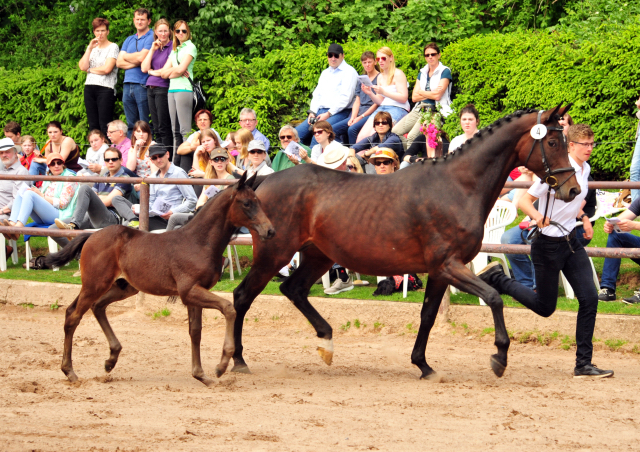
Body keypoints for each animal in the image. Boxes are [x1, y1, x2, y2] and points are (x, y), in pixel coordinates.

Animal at [45, 172, 276, 384]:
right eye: (246, 203)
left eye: (258, 201)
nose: (270, 231)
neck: (198, 241)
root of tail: (91, 235)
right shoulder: (189, 291)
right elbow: (229, 308)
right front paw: (221, 365)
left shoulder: (194, 294)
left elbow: (195, 331)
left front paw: (201, 375)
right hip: (95, 284)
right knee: (74, 316)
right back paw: (70, 372)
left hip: (122, 287)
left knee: (95, 307)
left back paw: (111, 359)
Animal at [231, 106, 580, 378]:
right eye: (552, 141)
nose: (573, 189)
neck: (457, 187)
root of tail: (260, 183)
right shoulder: (449, 265)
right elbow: (494, 298)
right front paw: (499, 357)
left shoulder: (439, 271)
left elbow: (428, 315)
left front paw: (423, 365)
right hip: (275, 254)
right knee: (243, 296)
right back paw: (238, 359)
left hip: (318, 256)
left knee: (294, 290)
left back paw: (326, 343)